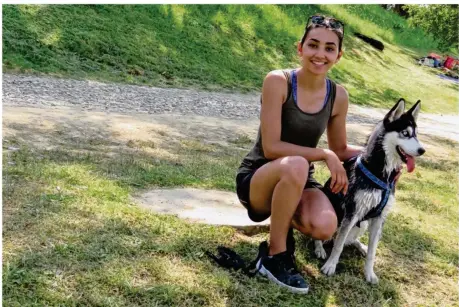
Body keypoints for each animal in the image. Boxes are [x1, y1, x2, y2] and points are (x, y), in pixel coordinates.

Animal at [316, 98, 428, 284]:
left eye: (416, 135)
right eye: (405, 133)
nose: (422, 150)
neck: (382, 174)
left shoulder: (379, 218)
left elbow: (372, 252)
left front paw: (369, 273)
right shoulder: (352, 212)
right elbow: (338, 246)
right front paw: (330, 266)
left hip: (363, 223)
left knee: (350, 240)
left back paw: (360, 246)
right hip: (334, 217)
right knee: (327, 238)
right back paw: (319, 248)